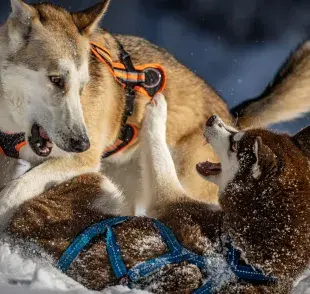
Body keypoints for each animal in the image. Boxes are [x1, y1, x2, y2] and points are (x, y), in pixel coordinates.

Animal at [0, 0, 308, 227]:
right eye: (56, 80)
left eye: (83, 86)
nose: (82, 143)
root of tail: (231, 119)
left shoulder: (80, 161)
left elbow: (15, 189)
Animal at [6, 94, 310, 294]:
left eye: (235, 143)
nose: (213, 119)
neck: (245, 258)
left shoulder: (169, 200)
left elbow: (159, 154)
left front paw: (156, 110)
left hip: (100, 182)